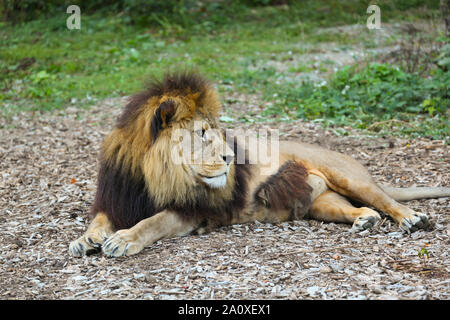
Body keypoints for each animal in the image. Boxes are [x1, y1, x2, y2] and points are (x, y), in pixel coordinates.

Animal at [69, 72, 450, 258]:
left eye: (217, 131)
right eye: (202, 133)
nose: (229, 158)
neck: (151, 175)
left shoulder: (191, 210)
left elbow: (152, 222)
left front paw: (122, 240)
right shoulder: (117, 199)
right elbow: (98, 221)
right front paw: (85, 240)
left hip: (350, 177)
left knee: (386, 200)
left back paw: (413, 219)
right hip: (322, 203)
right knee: (359, 209)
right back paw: (365, 221)